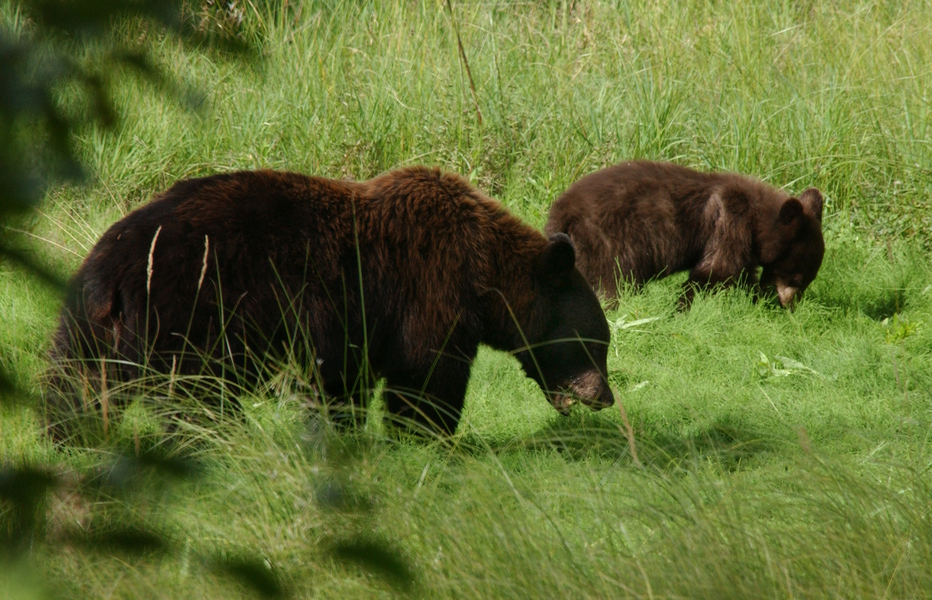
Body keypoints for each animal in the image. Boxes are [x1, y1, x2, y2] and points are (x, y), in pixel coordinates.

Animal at [49, 166, 620, 438]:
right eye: (597, 340)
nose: (605, 397)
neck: (484, 276)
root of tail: (112, 268)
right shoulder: (428, 293)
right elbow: (426, 378)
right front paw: (426, 436)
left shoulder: (354, 332)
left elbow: (341, 388)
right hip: (192, 315)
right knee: (198, 397)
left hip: (87, 325)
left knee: (75, 386)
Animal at [548, 161, 824, 308]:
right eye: (797, 277)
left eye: (808, 280)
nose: (789, 304)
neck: (758, 223)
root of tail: (562, 210)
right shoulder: (730, 223)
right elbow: (715, 272)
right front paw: (684, 308)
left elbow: (743, 274)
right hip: (606, 243)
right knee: (611, 284)